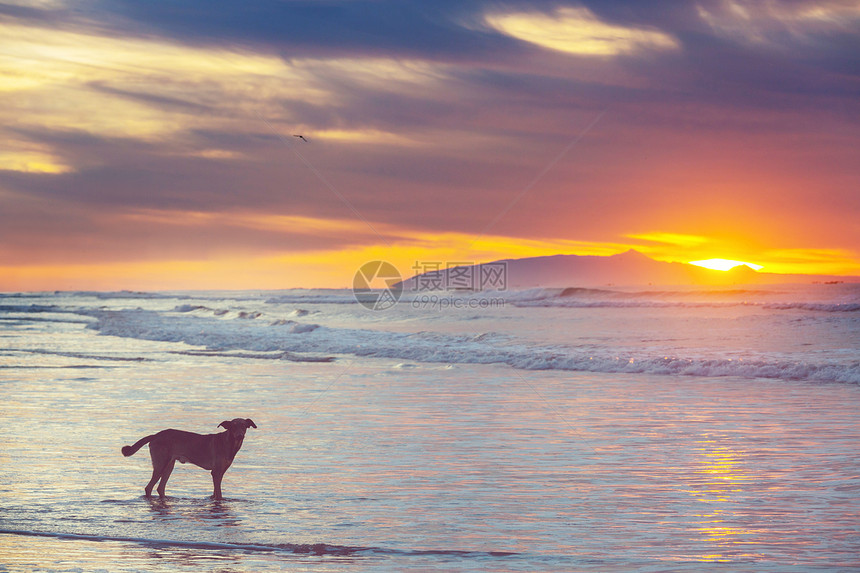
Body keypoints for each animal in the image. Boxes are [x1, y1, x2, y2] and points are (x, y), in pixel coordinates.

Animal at [122, 418, 255, 498]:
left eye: (244, 426)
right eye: (233, 426)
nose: (240, 435)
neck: (230, 443)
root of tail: (155, 435)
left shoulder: (220, 473)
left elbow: (215, 492)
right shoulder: (216, 472)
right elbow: (219, 494)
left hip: (169, 466)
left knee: (160, 488)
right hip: (160, 465)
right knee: (148, 487)